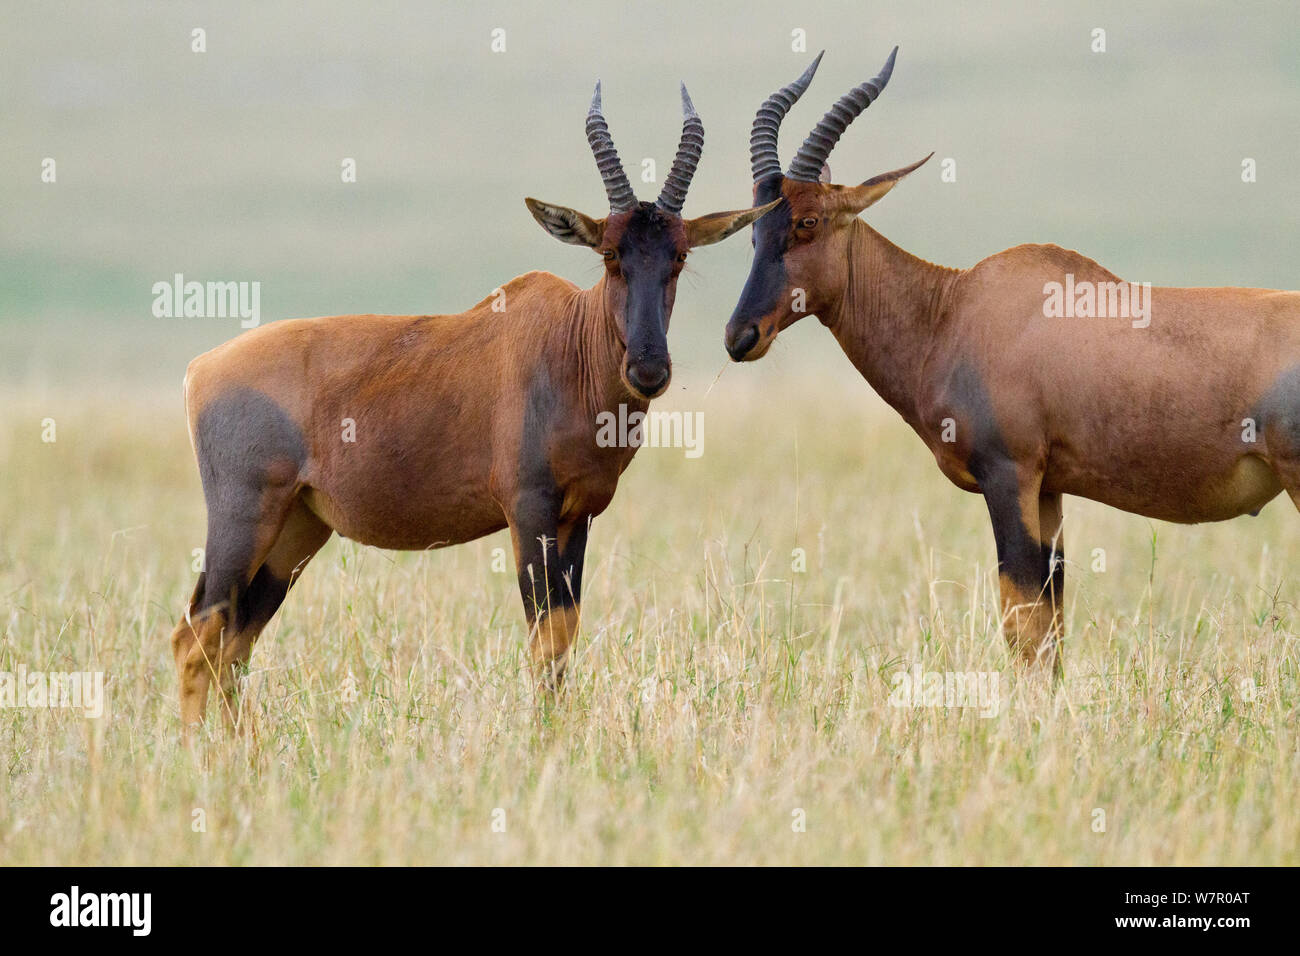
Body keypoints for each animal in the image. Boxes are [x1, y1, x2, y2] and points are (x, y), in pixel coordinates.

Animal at [175, 85, 780, 738]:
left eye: (680, 255)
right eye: (610, 253)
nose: (648, 369)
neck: (566, 342)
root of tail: (202, 369)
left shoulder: (580, 515)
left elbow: (564, 631)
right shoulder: (528, 508)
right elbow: (545, 637)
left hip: (297, 529)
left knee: (234, 642)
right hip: (243, 517)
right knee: (197, 634)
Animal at [728, 48, 1300, 676]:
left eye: (808, 221)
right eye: (754, 225)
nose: (740, 336)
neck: (951, 309)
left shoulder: (1009, 474)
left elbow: (1021, 621)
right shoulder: (1048, 489)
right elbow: (1047, 625)